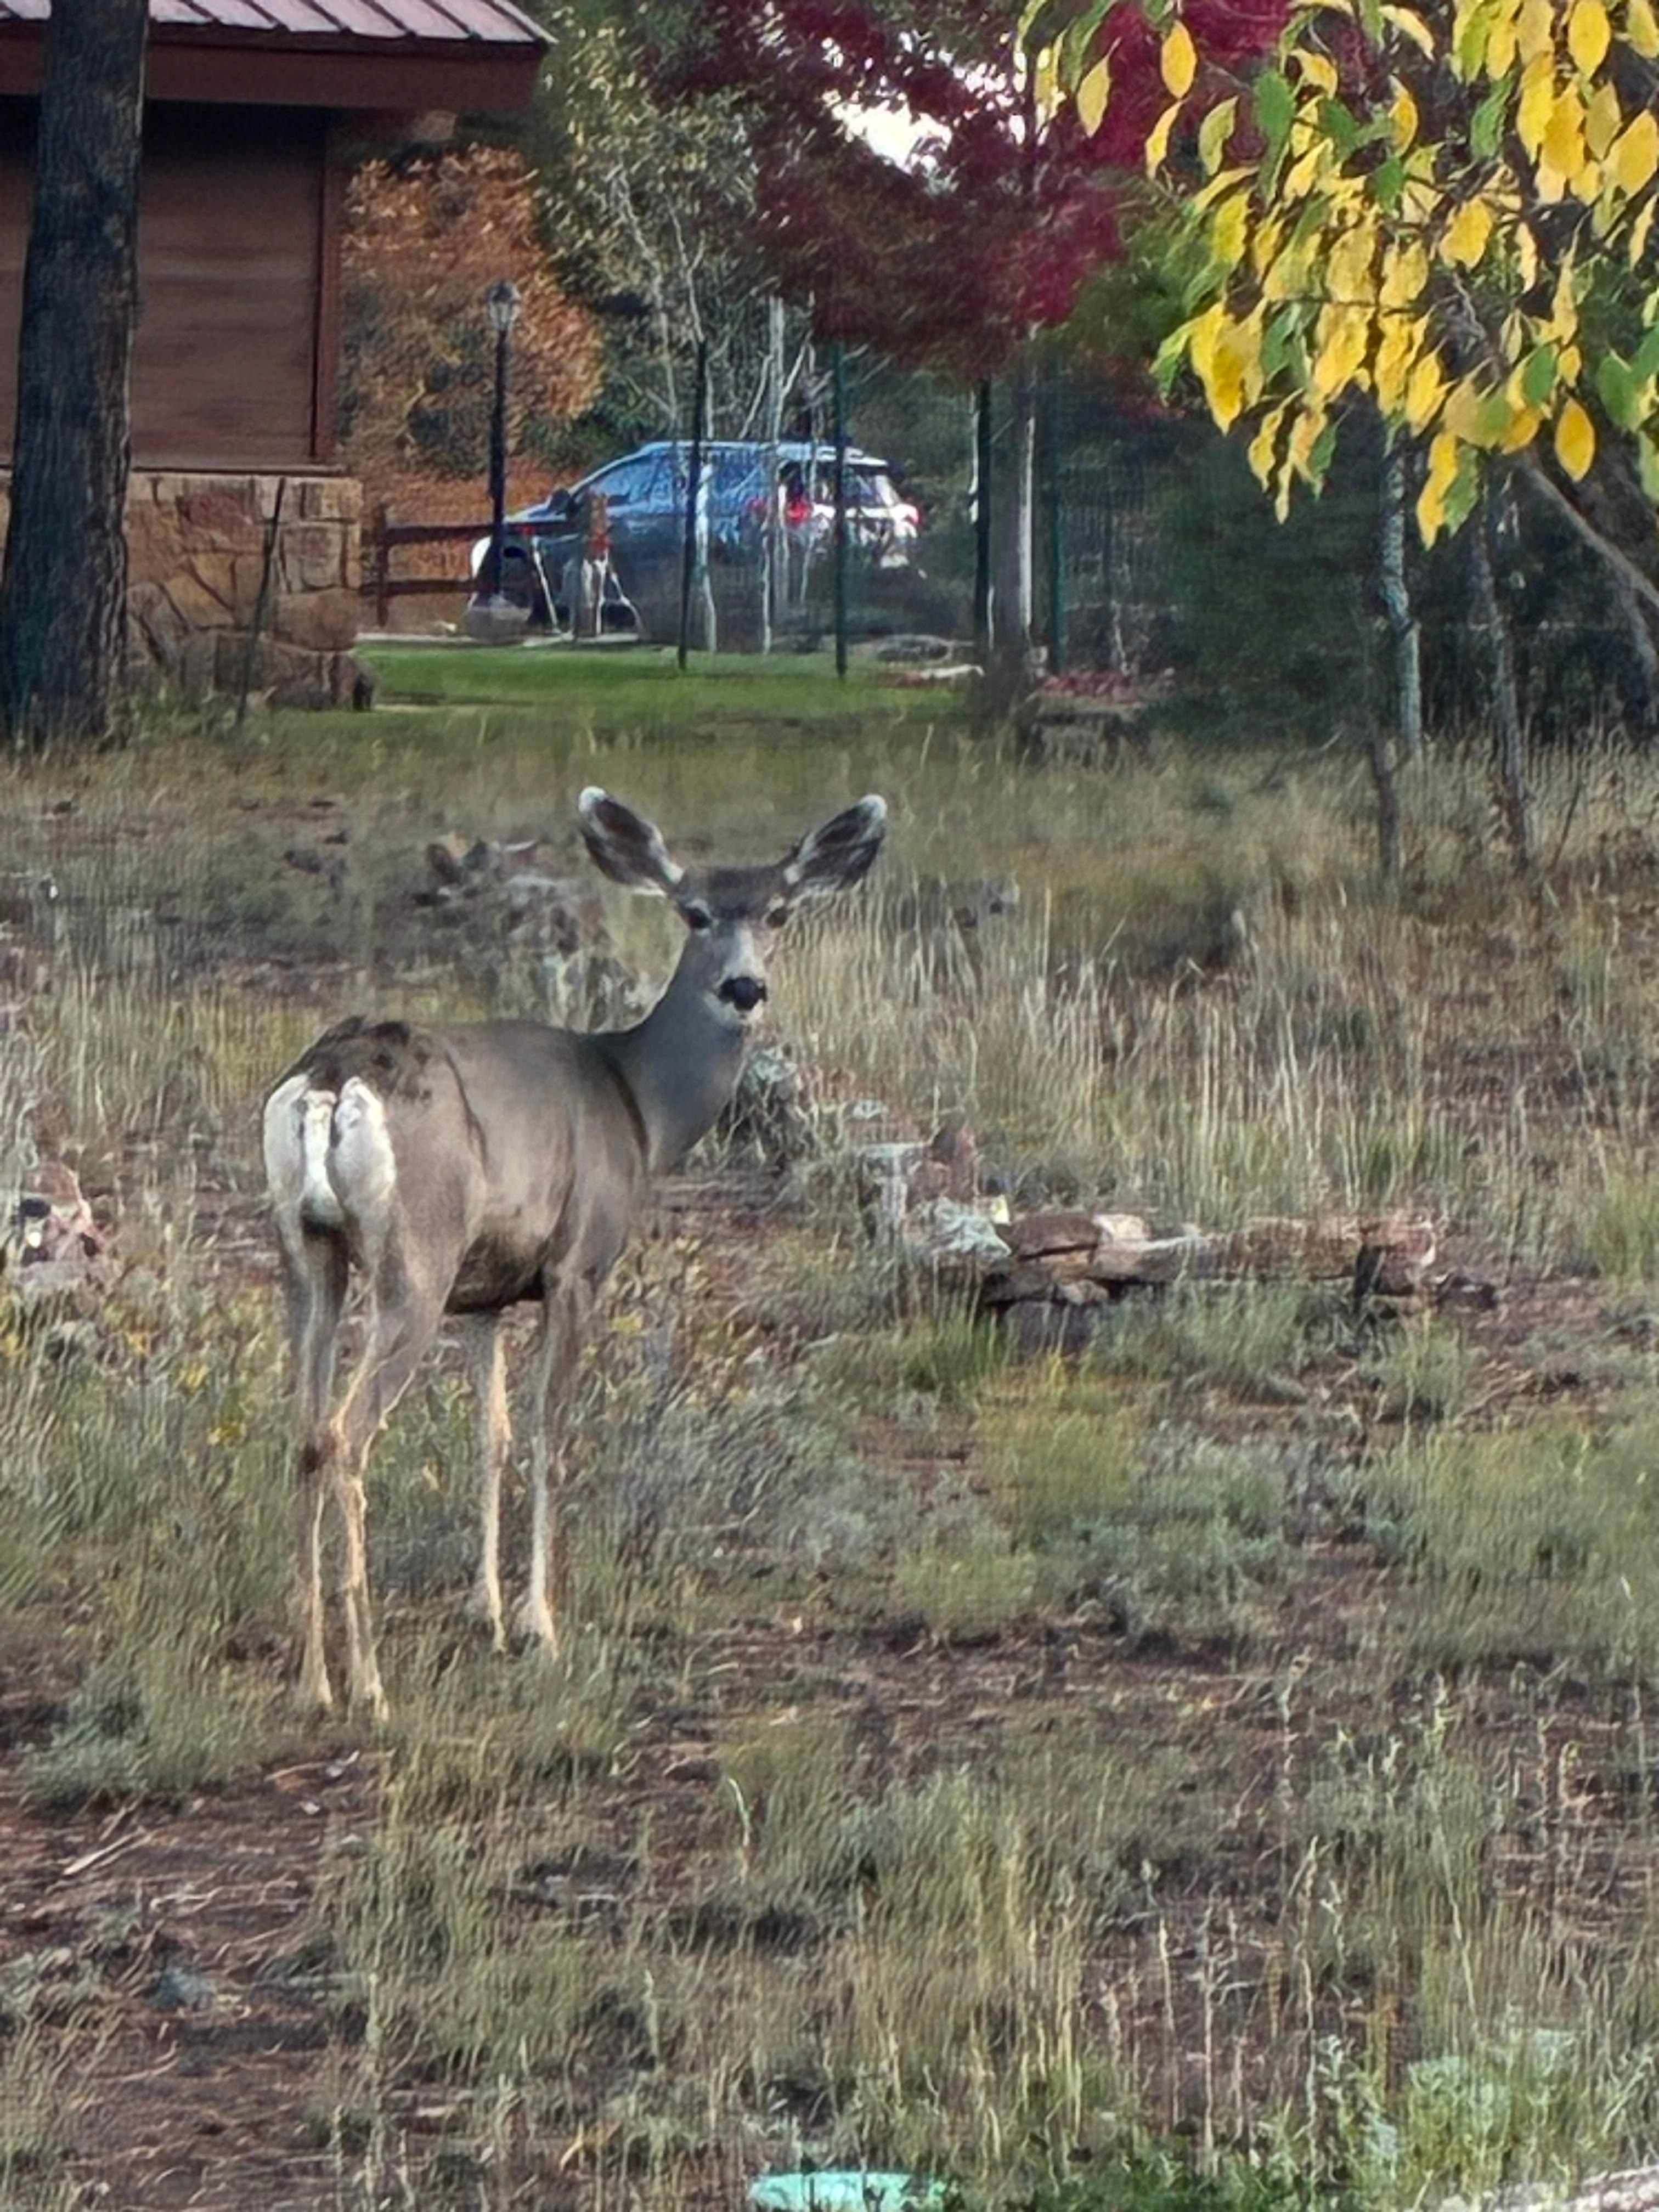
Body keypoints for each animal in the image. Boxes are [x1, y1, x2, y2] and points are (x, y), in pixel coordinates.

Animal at [263, 787, 887, 1717]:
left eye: (778, 910)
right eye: (693, 912)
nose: (745, 988)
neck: (639, 1107)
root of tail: (334, 1078)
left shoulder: (484, 1294)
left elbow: (490, 1437)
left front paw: (484, 1612)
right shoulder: (576, 1265)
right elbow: (550, 1432)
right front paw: (539, 1626)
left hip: (309, 1253)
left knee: (307, 1430)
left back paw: (312, 1681)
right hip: (416, 1255)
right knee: (347, 1432)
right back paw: (368, 1683)